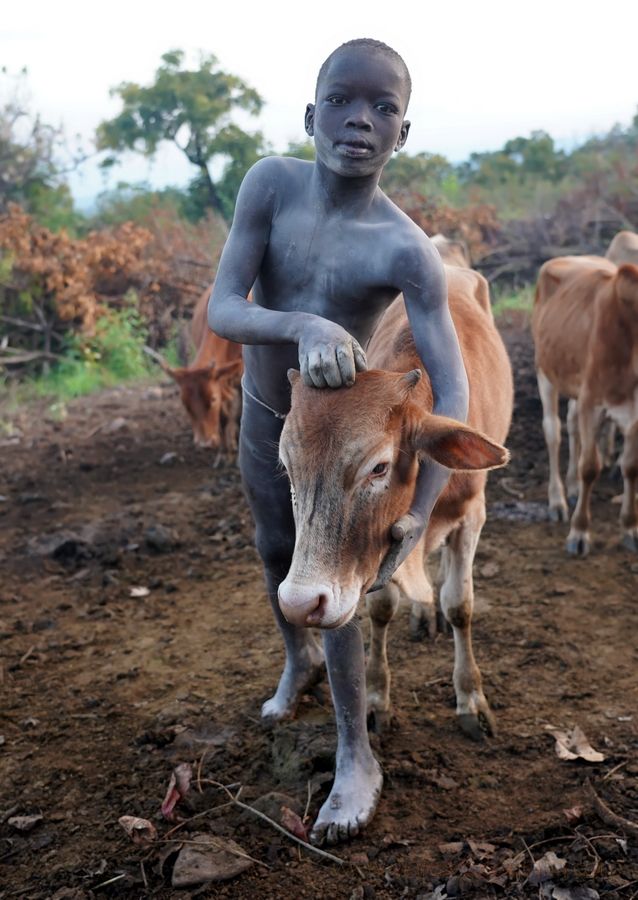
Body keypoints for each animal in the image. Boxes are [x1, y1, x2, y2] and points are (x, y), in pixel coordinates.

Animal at [280, 268, 516, 836]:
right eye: (287, 467)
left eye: (379, 467)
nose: (300, 603)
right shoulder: (372, 567)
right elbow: (382, 610)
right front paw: (377, 698)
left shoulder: (472, 516)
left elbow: (461, 605)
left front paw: (470, 698)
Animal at [532, 255, 638, 556]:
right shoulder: (592, 401)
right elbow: (590, 467)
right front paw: (579, 531)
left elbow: (631, 467)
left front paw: (630, 527)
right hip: (545, 370)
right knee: (553, 431)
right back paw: (557, 499)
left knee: (571, 424)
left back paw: (571, 486)